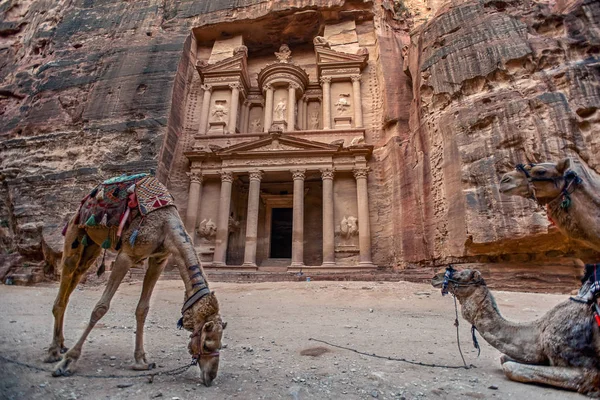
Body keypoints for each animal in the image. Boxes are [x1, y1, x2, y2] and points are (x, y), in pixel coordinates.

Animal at [44, 173, 226, 386]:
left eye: (221, 344)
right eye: (206, 344)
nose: (211, 375)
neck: (166, 224)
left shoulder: (159, 259)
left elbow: (142, 309)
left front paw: (141, 360)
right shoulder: (126, 256)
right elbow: (100, 308)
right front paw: (69, 361)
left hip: (91, 247)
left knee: (74, 281)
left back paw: (60, 344)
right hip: (75, 232)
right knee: (64, 286)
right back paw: (54, 352)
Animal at [432, 268, 600, 396]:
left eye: (459, 276)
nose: (435, 277)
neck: (540, 332)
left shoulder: (585, 368)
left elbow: (510, 367)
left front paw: (592, 390)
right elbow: (504, 359)